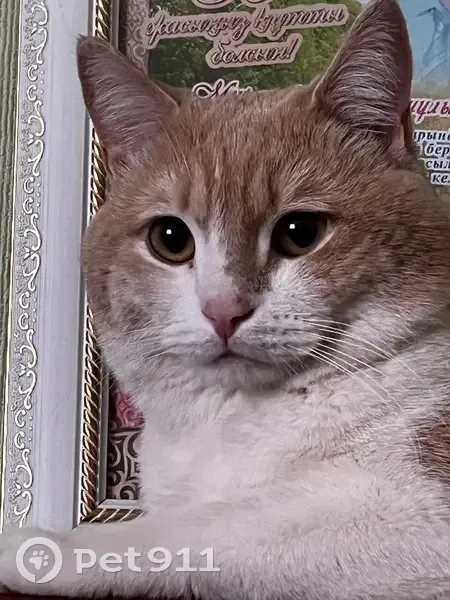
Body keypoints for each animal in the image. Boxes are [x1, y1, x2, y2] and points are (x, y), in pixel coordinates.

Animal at [2, 0, 450, 598]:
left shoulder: (412, 510)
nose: (224, 310)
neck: (230, 420)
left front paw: (47, 547)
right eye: (170, 240)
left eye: (300, 232)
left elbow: (206, 528)